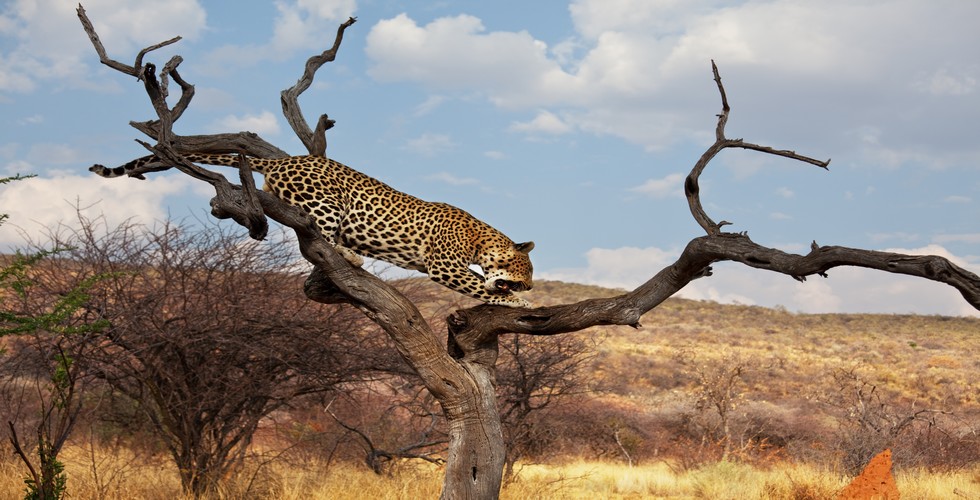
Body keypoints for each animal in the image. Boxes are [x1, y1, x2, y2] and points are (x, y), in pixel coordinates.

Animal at [89, 153, 535, 307]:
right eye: (526, 273)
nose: (530, 287)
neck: (480, 239)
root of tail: (284, 161)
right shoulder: (443, 265)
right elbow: (480, 287)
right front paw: (521, 304)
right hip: (328, 201)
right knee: (321, 234)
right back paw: (350, 255)